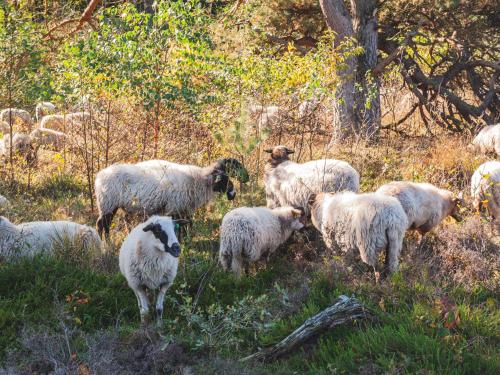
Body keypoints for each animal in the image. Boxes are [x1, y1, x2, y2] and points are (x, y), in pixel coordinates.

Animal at [94, 158, 250, 239]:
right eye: (225, 179)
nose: (233, 194)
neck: (198, 180)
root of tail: (99, 176)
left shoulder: (184, 209)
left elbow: (187, 225)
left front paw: (187, 241)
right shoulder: (175, 207)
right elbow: (180, 227)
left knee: (104, 224)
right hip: (108, 203)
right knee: (102, 225)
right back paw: (105, 245)